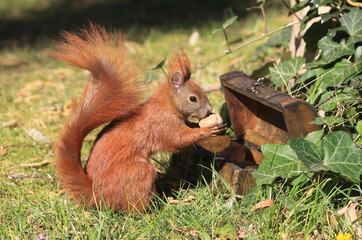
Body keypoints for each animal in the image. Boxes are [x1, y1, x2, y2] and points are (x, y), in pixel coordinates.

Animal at [54, 24, 225, 212]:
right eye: (193, 98)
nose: (209, 110)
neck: (166, 105)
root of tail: (96, 195)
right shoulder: (162, 123)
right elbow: (177, 140)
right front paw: (208, 129)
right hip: (139, 175)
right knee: (135, 207)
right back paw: (155, 210)